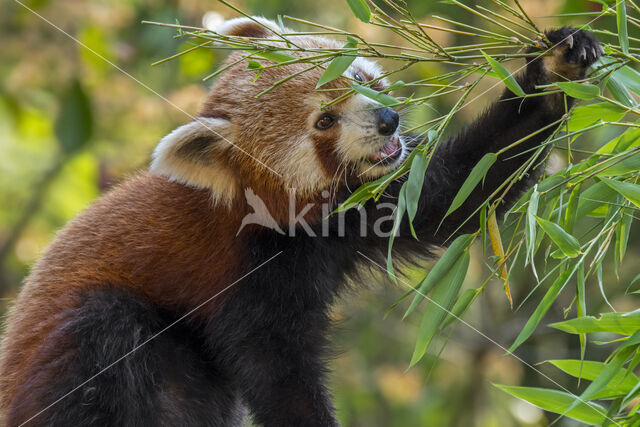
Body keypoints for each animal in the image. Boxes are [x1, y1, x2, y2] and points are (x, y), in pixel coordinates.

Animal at [0, 15, 600, 424]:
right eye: (324, 121)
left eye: (359, 76)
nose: (388, 121)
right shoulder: (247, 273)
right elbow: (277, 372)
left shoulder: (361, 214)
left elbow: (452, 194)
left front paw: (556, 67)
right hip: (76, 357)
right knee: (109, 333)